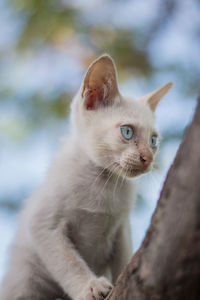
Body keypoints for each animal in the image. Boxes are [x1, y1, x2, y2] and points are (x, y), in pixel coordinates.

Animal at [0, 54, 172, 300]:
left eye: (153, 141)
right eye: (127, 132)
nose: (147, 158)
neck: (104, 183)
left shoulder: (121, 228)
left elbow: (123, 261)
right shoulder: (43, 224)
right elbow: (68, 262)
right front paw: (89, 287)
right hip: (24, 280)